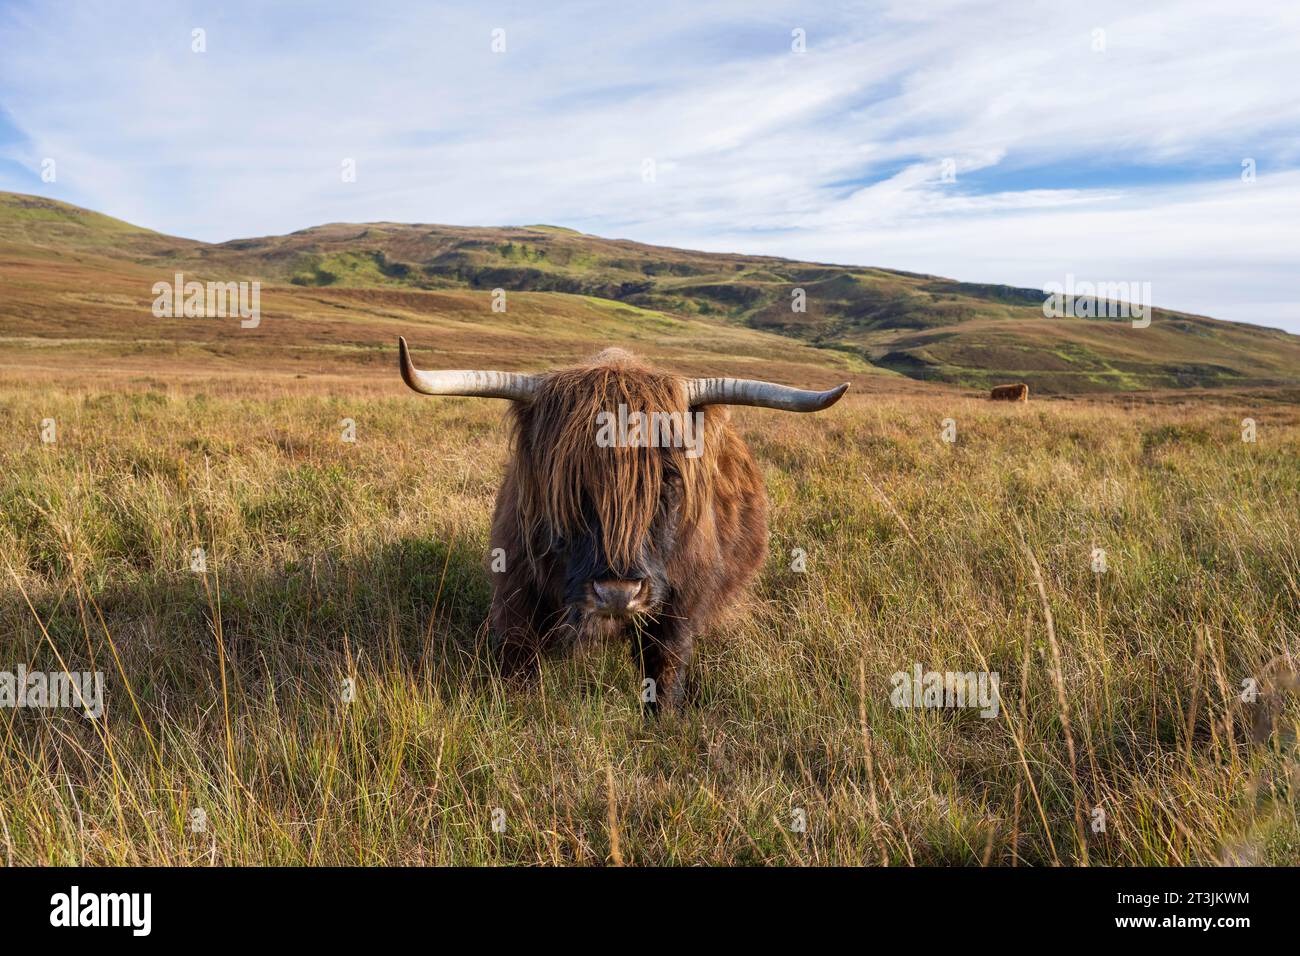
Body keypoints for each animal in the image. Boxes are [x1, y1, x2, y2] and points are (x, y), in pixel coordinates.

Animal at [398, 337, 848, 711]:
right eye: (570, 480)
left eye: (669, 478)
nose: (617, 593)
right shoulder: (515, 589)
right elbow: (519, 662)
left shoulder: (682, 604)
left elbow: (665, 669)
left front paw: (664, 721)